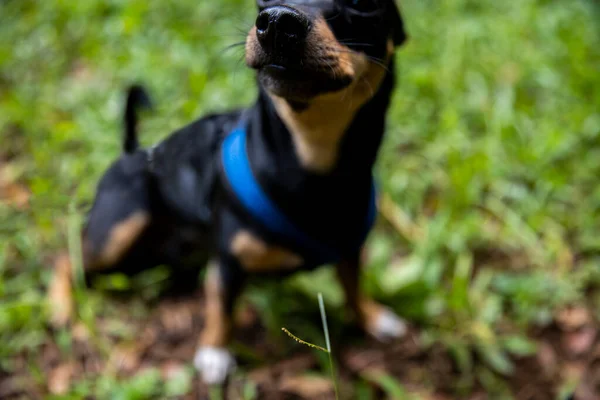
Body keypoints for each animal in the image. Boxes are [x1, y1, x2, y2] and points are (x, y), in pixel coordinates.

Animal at [49, 0, 410, 386]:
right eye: (261, 4)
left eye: (363, 5)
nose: (277, 20)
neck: (311, 164)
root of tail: (135, 151)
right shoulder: (227, 263)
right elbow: (222, 310)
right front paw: (214, 352)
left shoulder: (351, 248)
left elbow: (353, 285)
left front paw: (372, 317)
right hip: (116, 234)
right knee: (67, 259)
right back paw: (60, 307)